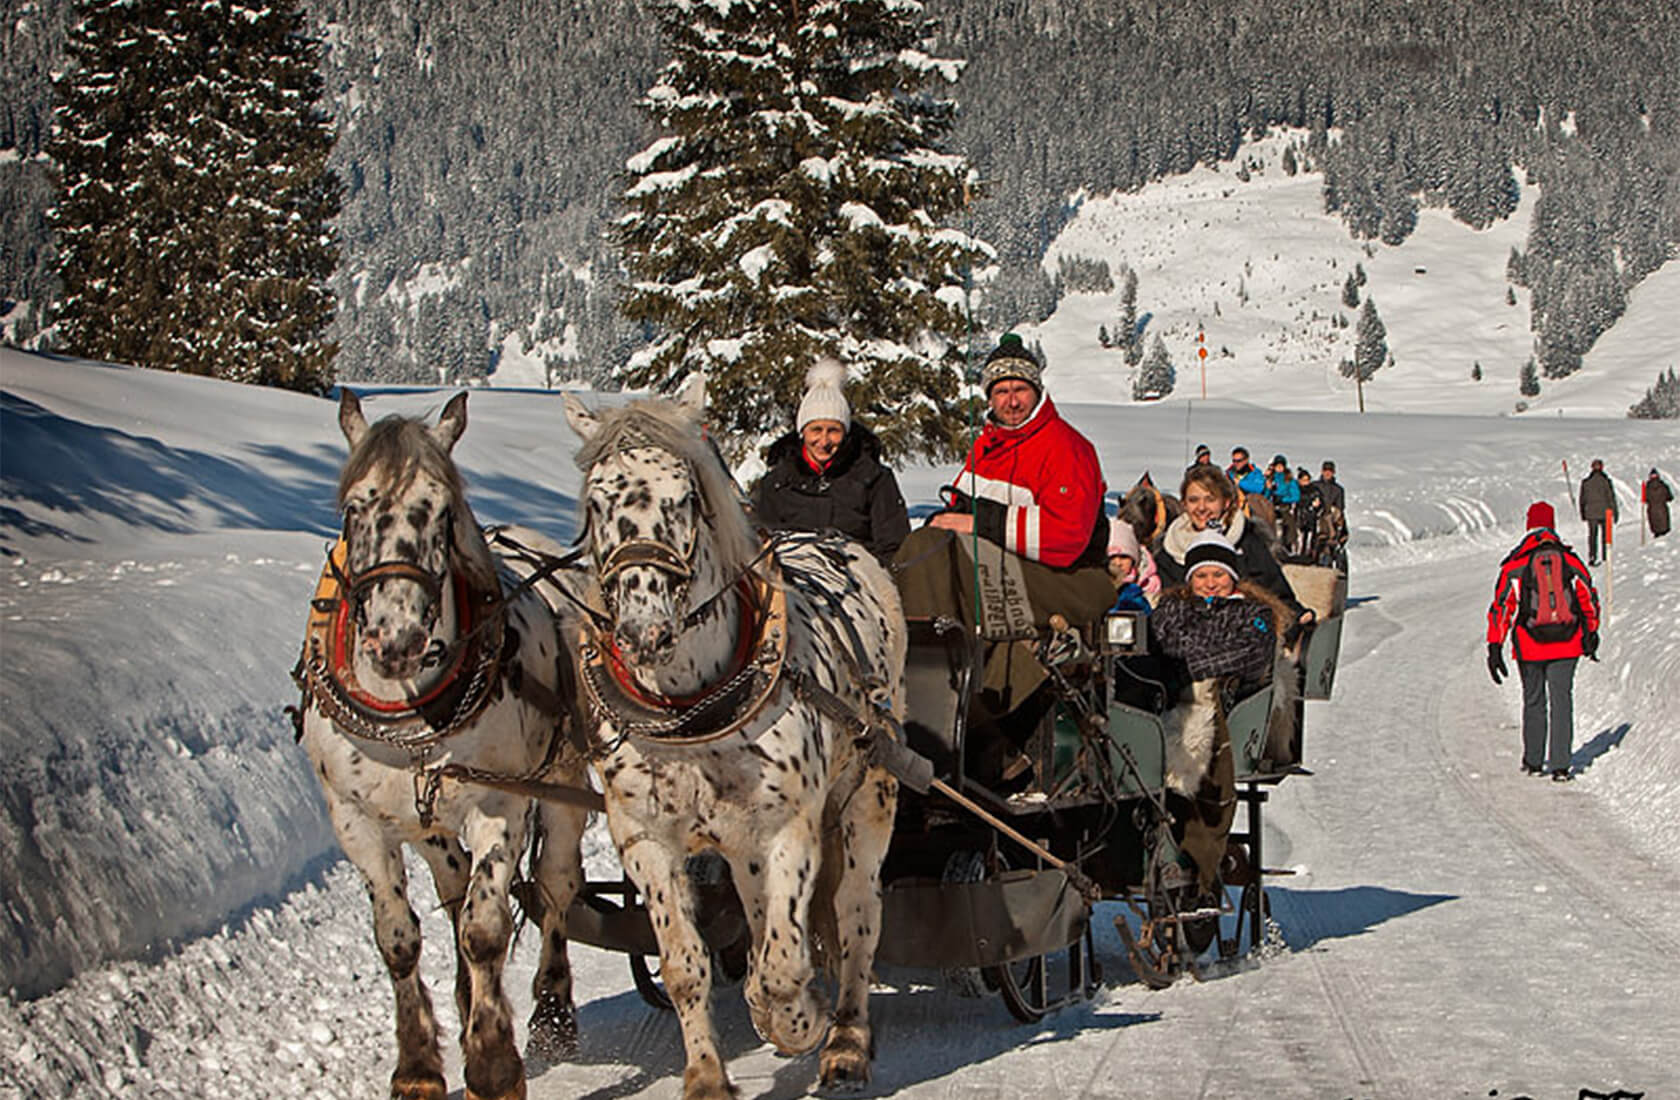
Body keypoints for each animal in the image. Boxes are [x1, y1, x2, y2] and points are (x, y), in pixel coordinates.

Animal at [294, 396, 591, 1100]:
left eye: (441, 508)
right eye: (354, 507)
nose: (396, 639)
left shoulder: (500, 805)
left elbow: (484, 930)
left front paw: (492, 1062)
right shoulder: (356, 820)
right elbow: (400, 939)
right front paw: (419, 1067)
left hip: (562, 788)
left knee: (554, 887)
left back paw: (551, 1007)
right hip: (429, 823)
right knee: (455, 891)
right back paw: (463, 1000)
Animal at [561, 384, 907, 1100]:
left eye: (685, 498)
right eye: (596, 502)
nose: (644, 631)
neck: (690, 709)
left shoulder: (790, 828)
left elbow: (782, 965)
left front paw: (798, 1022)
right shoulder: (647, 840)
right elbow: (686, 963)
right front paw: (706, 1075)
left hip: (869, 793)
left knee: (856, 914)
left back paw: (846, 1041)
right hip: (745, 847)